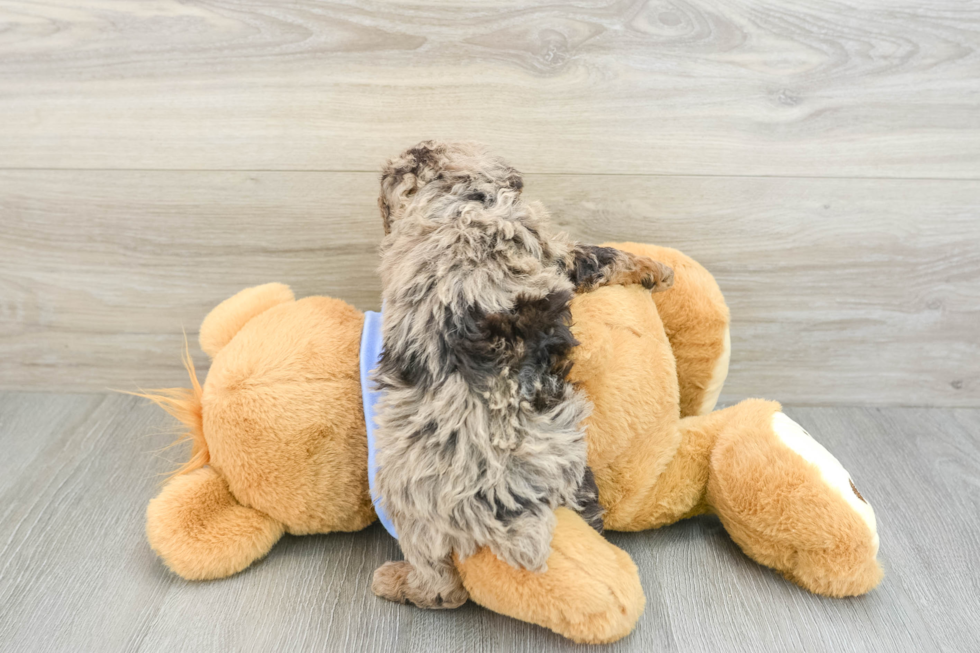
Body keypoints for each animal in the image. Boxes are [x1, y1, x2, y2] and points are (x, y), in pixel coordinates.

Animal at [372, 140, 668, 608]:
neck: (454, 199)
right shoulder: (555, 250)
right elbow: (600, 255)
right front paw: (654, 267)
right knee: (441, 589)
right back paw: (394, 581)